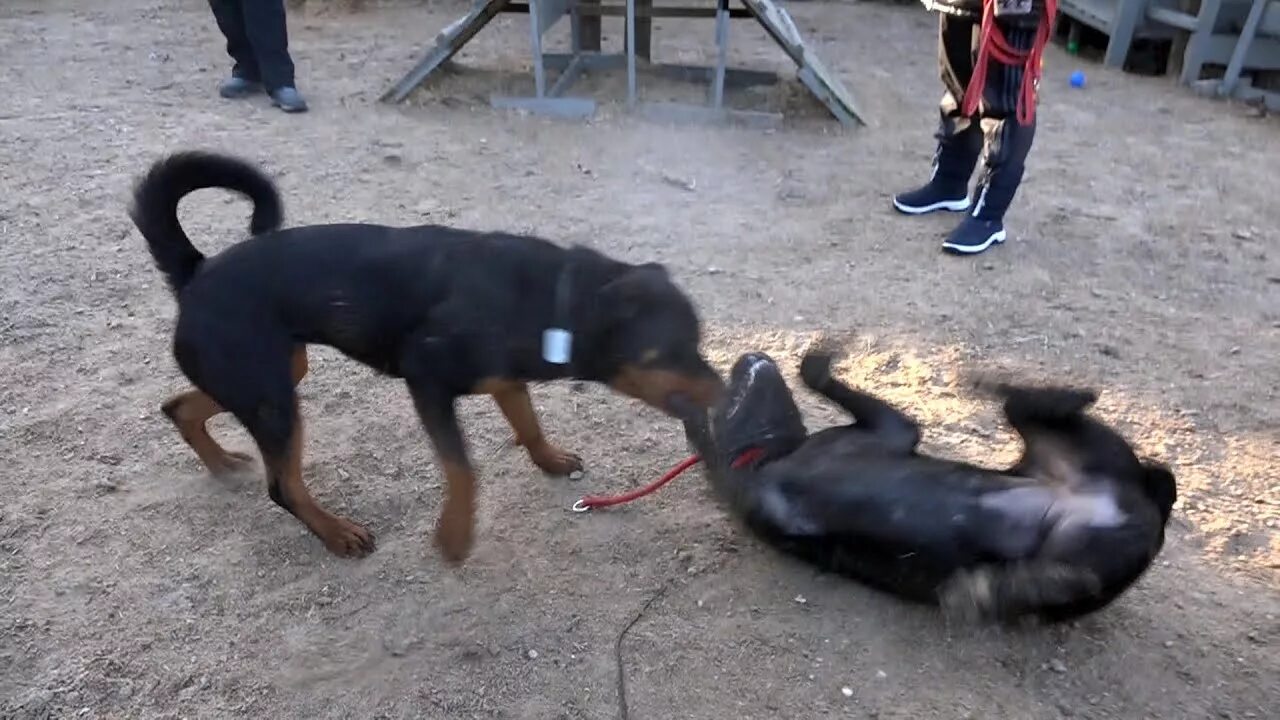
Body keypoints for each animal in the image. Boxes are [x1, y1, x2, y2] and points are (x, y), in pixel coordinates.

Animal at [133, 151, 727, 563]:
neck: (551, 301)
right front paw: (454, 536)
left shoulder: (505, 377)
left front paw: (550, 459)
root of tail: (196, 271)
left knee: (180, 407)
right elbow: (462, 467)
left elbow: (529, 423)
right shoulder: (427, 380)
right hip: (273, 398)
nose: (724, 388)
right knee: (283, 486)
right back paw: (337, 532)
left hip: (272, 375)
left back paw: (220, 464)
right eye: (672, 348)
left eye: (698, 340)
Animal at [680, 345, 1177, 622]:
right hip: (1087, 549)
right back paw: (984, 589)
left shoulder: (894, 429)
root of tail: (1141, 506)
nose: (750, 355)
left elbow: (815, 372)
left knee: (1018, 403)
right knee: (1069, 574)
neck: (768, 459)